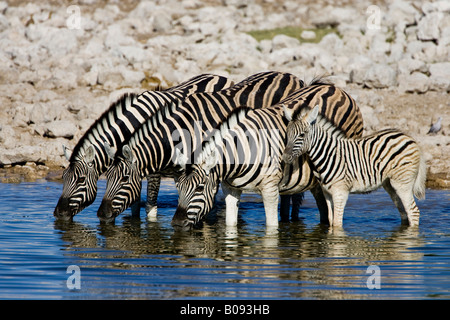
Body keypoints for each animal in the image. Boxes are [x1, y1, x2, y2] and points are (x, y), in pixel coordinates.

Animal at [53, 74, 232, 221]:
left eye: (81, 180)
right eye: (63, 177)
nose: (58, 214)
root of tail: (219, 76)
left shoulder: (154, 169)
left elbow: (150, 207)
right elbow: (134, 204)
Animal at [171, 81, 364, 229]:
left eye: (199, 188)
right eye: (178, 187)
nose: (177, 224)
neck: (240, 153)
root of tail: (332, 87)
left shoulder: (270, 189)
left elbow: (271, 228)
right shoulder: (231, 189)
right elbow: (230, 225)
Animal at [284, 105, 428, 228]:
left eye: (302, 135)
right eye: (287, 134)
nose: (284, 157)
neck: (328, 154)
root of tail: (409, 137)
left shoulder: (340, 191)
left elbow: (336, 224)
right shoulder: (327, 192)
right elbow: (331, 220)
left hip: (402, 183)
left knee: (413, 212)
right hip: (390, 184)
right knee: (404, 213)